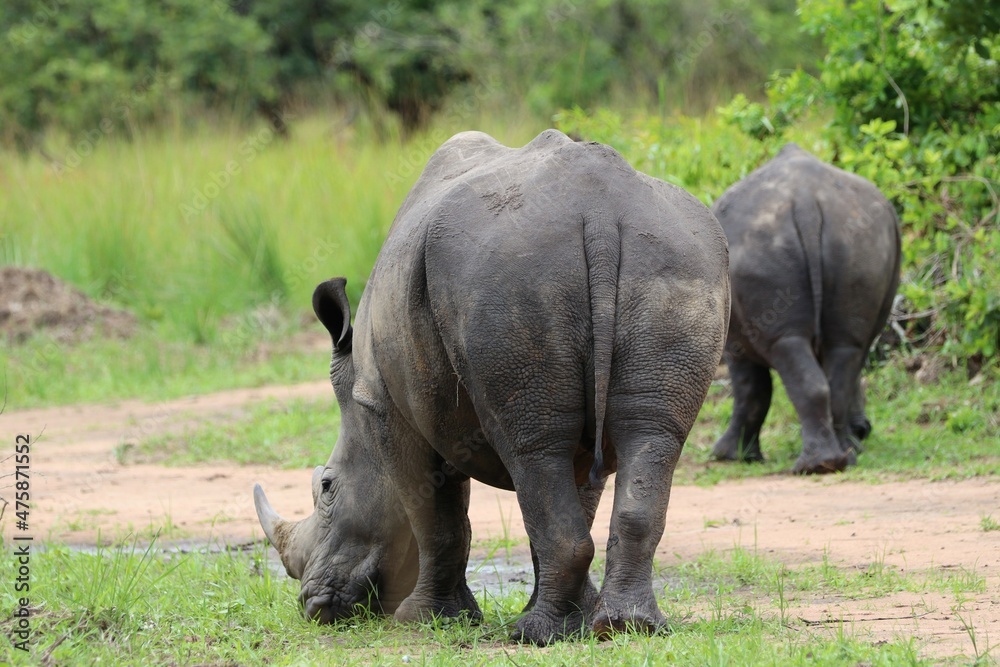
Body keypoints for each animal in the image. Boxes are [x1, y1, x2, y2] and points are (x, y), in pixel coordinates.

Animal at [253, 129, 730, 644]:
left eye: (327, 487)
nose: (311, 607)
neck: (358, 405)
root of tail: (602, 208)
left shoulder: (386, 409)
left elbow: (436, 518)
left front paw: (425, 619)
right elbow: (561, 502)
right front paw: (571, 620)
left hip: (510, 274)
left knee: (535, 447)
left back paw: (534, 634)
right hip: (674, 262)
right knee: (642, 434)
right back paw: (627, 628)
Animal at [710, 143, 900, 474]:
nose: (864, 428)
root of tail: (806, 202)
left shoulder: (736, 342)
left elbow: (749, 390)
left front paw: (728, 456)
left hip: (762, 246)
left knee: (786, 347)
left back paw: (815, 466)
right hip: (860, 242)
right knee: (844, 349)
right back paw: (838, 460)